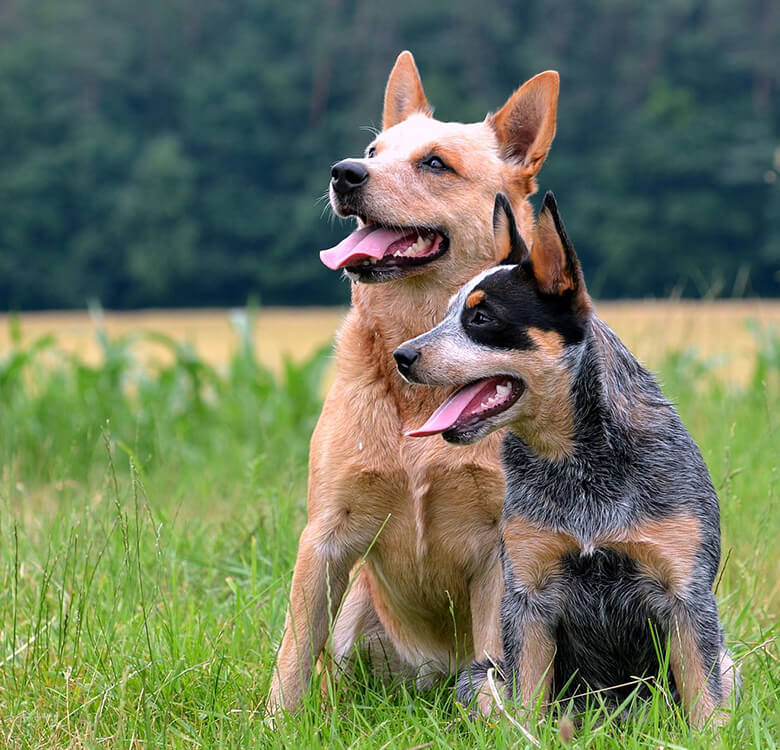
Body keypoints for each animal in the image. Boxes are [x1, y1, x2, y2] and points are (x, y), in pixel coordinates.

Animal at [270, 50, 560, 712]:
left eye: (434, 162)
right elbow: (293, 654)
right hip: (356, 620)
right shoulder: (326, 535)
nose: (344, 173)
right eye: (374, 151)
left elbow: (497, 660)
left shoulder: (500, 549)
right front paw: (273, 723)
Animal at [394, 194, 740, 728]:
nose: (401, 355)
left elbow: (704, 703)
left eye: (480, 318)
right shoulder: (528, 595)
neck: (579, 467)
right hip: (481, 672)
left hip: (729, 660)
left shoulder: (686, 593)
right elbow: (527, 701)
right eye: (447, 311)